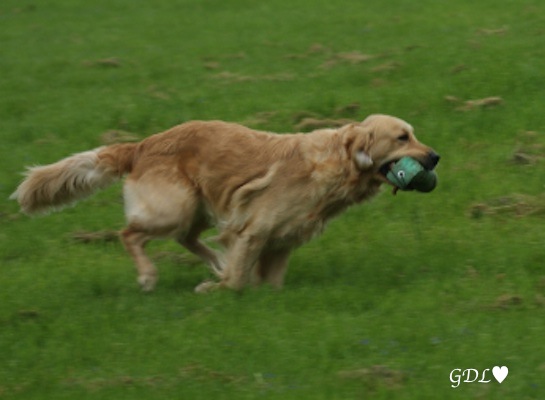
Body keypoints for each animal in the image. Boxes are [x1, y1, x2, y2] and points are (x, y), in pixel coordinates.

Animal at [11, 114, 438, 292]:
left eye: (414, 134)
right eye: (402, 137)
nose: (435, 157)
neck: (338, 162)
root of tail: (141, 145)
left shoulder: (282, 239)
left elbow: (269, 282)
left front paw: (250, 287)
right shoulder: (255, 229)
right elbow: (238, 280)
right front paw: (218, 289)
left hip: (197, 207)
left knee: (188, 238)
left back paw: (214, 262)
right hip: (175, 207)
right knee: (129, 233)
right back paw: (149, 276)